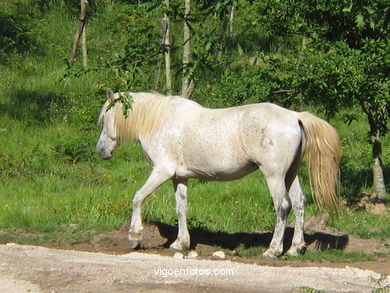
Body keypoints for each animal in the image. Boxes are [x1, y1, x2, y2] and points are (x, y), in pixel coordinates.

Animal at [96, 89, 340, 258]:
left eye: (105, 118)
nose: (100, 151)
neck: (159, 121)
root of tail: (294, 116)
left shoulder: (162, 171)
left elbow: (138, 198)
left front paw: (134, 237)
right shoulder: (179, 177)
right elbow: (181, 208)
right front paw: (180, 243)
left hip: (274, 176)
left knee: (283, 207)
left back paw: (273, 250)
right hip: (290, 174)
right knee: (299, 204)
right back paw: (295, 248)